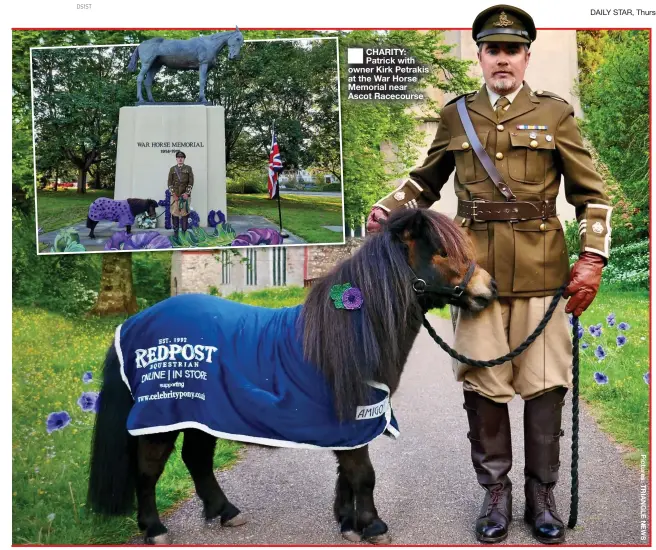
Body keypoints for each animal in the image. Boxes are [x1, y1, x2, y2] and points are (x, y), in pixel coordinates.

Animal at [88, 208, 498, 548]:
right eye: (441, 253)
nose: (489, 288)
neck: (350, 332)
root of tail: (134, 323)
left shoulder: (350, 423)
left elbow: (346, 472)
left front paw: (347, 522)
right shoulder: (353, 417)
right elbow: (362, 473)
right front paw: (372, 525)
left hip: (201, 415)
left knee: (197, 459)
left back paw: (226, 512)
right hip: (162, 418)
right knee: (148, 469)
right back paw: (154, 528)